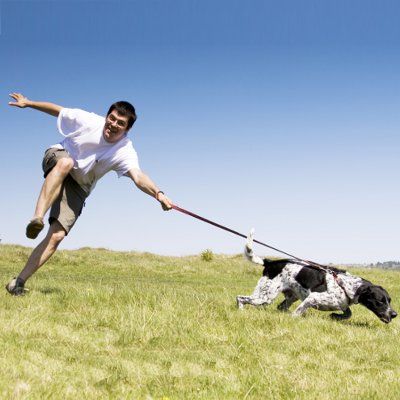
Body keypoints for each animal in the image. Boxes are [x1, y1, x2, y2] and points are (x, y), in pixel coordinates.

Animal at [238, 230, 396, 324]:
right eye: (380, 301)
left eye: (389, 300)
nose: (394, 314)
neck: (345, 285)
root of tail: (270, 262)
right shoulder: (312, 298)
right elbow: (299, 311)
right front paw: (294, 318)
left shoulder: (342, 304)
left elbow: (348, 313)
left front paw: (335, 316)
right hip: (265, 297)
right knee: (240, 298)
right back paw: (240, 311)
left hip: (290, 296)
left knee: (280, 307)